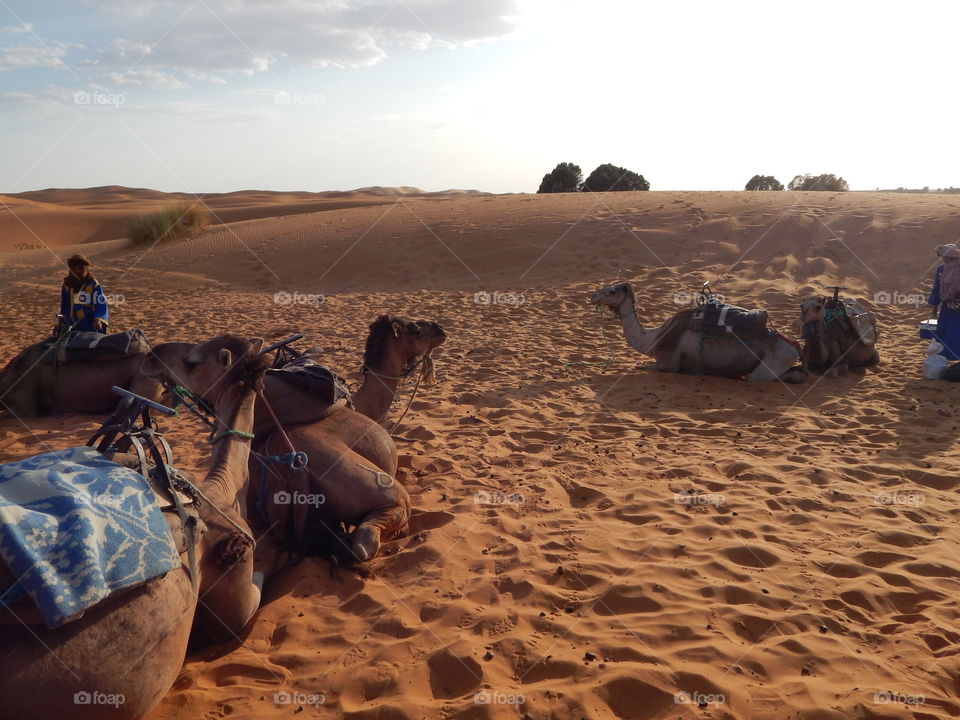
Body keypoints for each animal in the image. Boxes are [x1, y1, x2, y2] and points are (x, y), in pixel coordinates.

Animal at [590, 282, 805, 383]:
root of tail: (795, 347)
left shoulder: (668, 363)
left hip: (774, 361)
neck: (653, 338)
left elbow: (646, 367)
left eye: (612, 291)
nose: (593, 295)